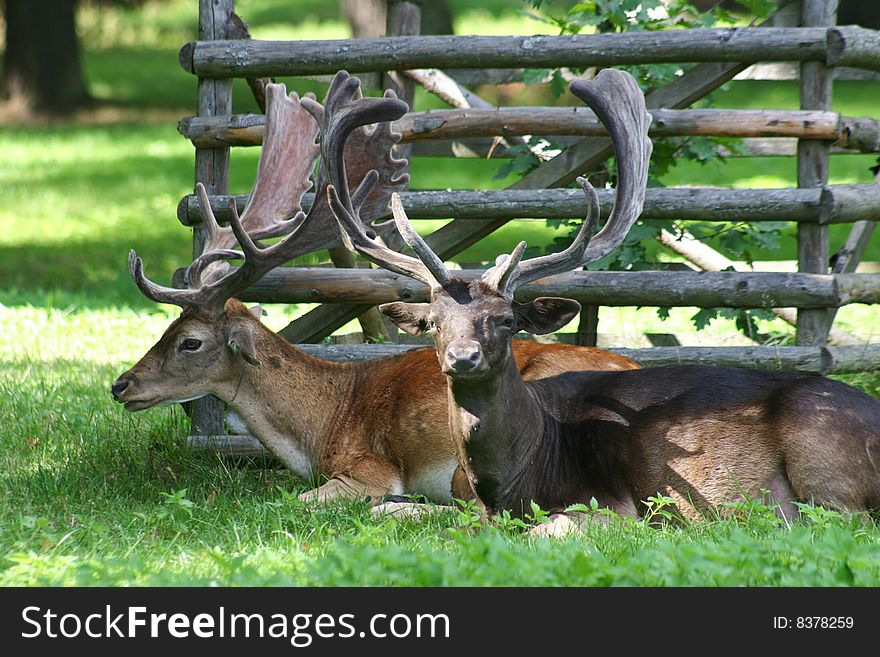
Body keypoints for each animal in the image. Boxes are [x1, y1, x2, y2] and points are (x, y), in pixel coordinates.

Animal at [334, 68, 880, 528]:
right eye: (434, 320)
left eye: (507, 319)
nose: (462, 357)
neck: (515, 479)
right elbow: (389, 508)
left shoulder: (610, 505)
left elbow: (552, 526)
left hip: (822, 457)